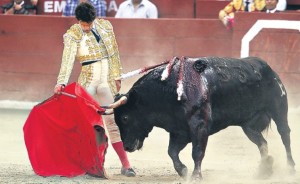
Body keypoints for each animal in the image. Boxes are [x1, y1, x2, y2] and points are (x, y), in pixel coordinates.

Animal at [110, 56, 296, 180]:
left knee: (285, 135)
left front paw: (196, 176)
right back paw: (264, 169)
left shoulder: (199, 125)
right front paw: (183, 171)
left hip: (279, 109)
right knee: (262, 143)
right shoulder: (179, 130)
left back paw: (290, 168)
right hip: (248, 126)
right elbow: (172, 151)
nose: (127, 146)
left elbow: (197, 152)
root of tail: (267, 67)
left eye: (125, 117)